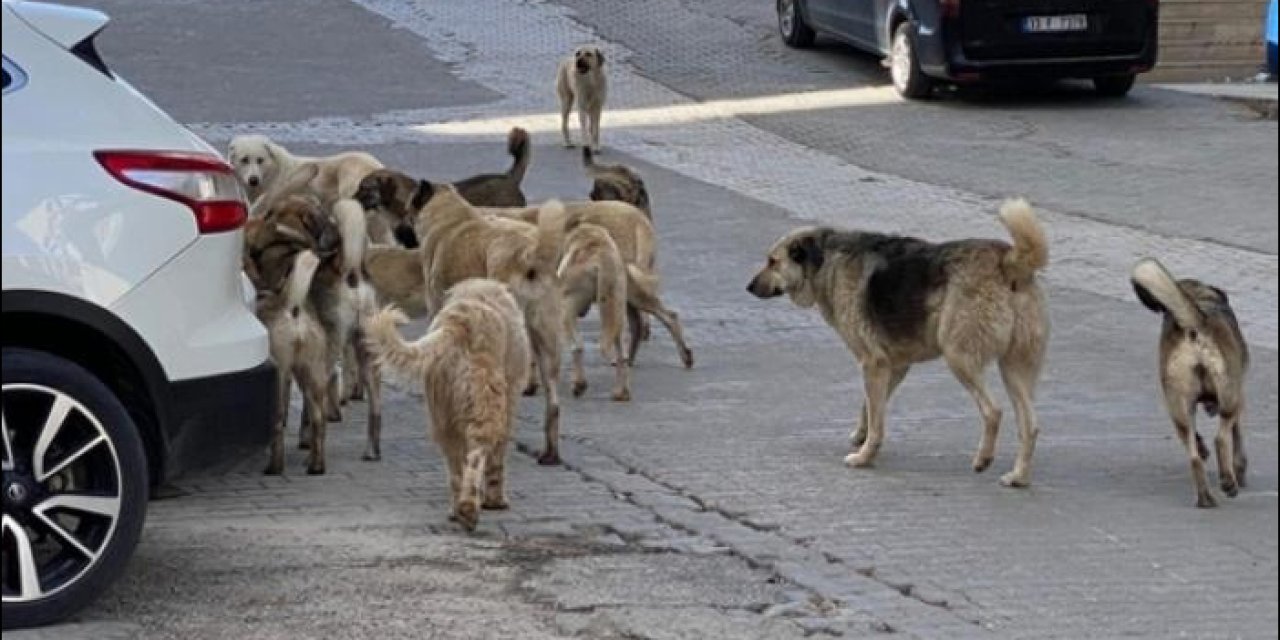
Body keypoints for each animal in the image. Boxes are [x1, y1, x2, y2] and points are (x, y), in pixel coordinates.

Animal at [366, 280, 529, 529]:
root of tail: (458, 324)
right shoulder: (509, 403)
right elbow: (496, 461)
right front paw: (496, 500)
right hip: (486, 407)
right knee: (476, 456)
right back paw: (469, 509)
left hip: (443, 417)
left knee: (456, 469)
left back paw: (457, 510)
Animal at [560, 220, 629, 399]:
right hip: (616, 308)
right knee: (621, 353)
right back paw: (621, 392)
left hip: (568, 306)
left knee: (577, 345)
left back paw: (579, 385)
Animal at [742, 198, 1049, 483]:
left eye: (772, 262)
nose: (748, 287)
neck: (826, 261)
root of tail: (1008, 260)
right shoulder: (893, 366)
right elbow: (870, 408)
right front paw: (861, 436)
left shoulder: (872, 362)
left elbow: (877, 418)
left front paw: (864, 456)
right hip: (1014, 369)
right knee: (1030, 424)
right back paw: (1018, 477)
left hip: (959, 357)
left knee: (993, 411)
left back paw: (983, 459)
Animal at [1136, 257, 1244, 506]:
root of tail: (1193, 326)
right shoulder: (1238, 397)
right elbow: (1237, 437)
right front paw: (1240, 469)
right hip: (1230, 397)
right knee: (1221, 438)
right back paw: (1228, 482)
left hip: (1179, 408)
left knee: (1194, 456)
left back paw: (1205, 497)